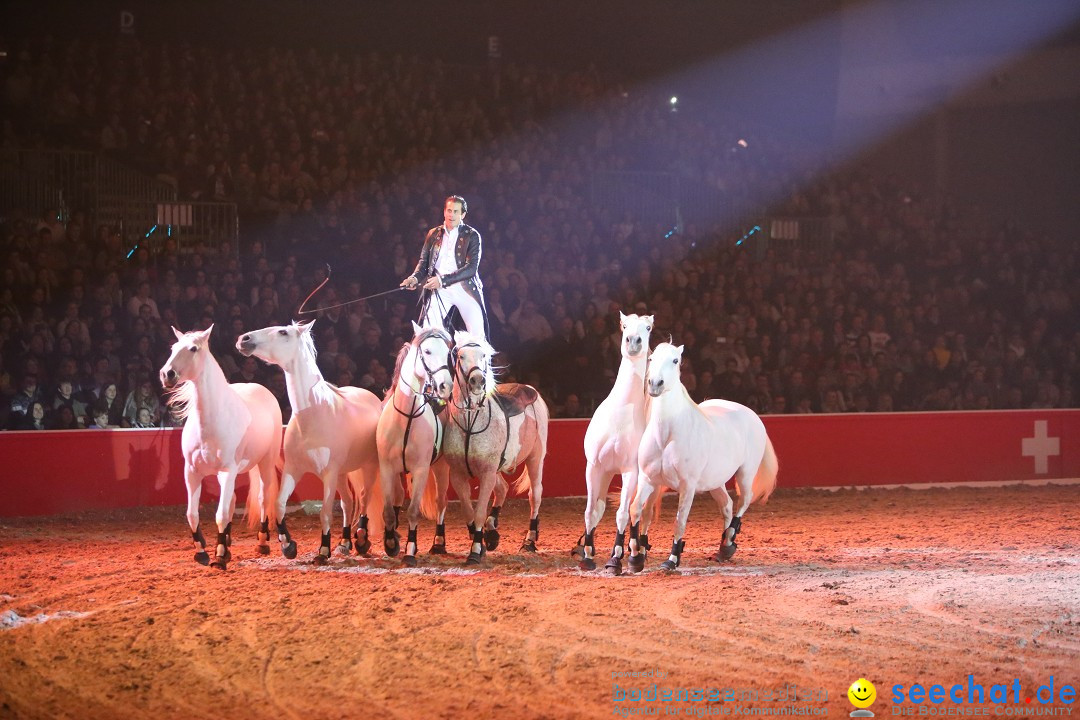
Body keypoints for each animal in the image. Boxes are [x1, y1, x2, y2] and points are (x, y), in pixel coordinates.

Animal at [158, 325, 280, 569]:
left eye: (193, 348)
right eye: (173, 348)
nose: (167, 374)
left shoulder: (227, 471)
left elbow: (221, 514)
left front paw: (220, 556)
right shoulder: (192, 472)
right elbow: (192, 514)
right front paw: (202, 552)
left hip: (265, 462)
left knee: (263, 498)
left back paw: (262, 543)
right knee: (232, 501)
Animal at [238, 319, 386, 561]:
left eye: (283, 332)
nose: (244, 339)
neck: (314, 415)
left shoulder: (329, 474)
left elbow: (325, 513)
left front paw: (323, 550)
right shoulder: (293, 469)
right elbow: (279, 504)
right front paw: (288, 545)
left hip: (369, 466)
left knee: (364, 498)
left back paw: (361, 540)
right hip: (343, 473)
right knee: (348, 502)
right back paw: (345, 543)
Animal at [375, 323, 455, 565]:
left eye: (448, 353)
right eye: (427, 351)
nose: (445, 386)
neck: (406, 418)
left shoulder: (420, 470)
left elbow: (412, 511)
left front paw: (410, 551)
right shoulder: (387, 468)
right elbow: (389, 510)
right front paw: (391, 543)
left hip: (440, 468)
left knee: (440, 502)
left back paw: (438, 543)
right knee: (399, 497)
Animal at [574, 313, 648, 569]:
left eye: (648, 327)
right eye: (624, 325)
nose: (633, 341)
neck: (621, 411)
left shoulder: (630, 471)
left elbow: (624, 514)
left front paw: (616, 557)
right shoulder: (594, 467)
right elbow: (591, 511)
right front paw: (587, 554)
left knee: (636, 510)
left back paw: (635, 552)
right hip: (605, 473)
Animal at [630, 343, 777, 574]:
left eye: (675, 360)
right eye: (651, 359)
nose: (655, 384)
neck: (667, 436)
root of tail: (751, 413)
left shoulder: (687, 486)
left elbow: (680, 521)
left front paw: (672, 560)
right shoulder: (648, 480)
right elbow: (637, 511)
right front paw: (636, 558)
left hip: (745, 474)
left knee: (744, 500)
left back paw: (729, 543)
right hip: (714, 482)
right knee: (726, 505)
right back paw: (723, 548)